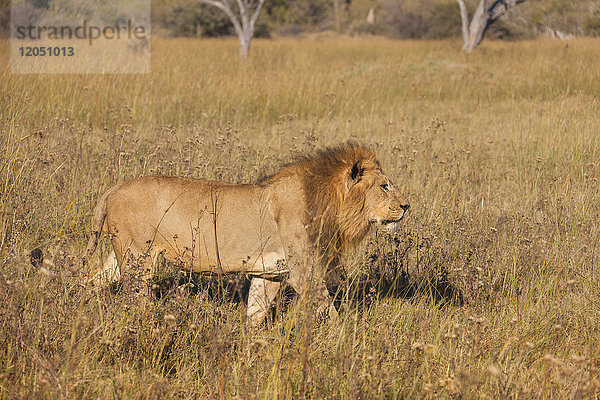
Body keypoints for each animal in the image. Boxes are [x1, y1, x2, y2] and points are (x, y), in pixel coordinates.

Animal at [82, 143, 410, 324]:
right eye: (384, 186)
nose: (406, 206)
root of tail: (113, 188)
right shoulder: (303, 272)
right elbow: (328, 310)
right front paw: (340, 340)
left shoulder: (271, 273)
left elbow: (255, 314)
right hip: (139, 257)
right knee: (135, 298)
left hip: (121, 254)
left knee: (92, 280)